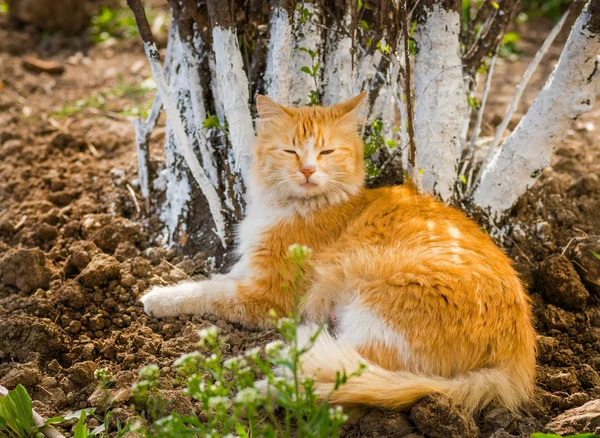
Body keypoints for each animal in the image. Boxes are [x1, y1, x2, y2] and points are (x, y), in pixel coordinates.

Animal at [141, 92, 536, 414]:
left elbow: (208, 291)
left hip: (373, 315)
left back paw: (263, 388)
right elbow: (215, 279)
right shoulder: (251, 270)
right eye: (290, 151)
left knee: (343, 379)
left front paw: (157, 296)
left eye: (326, 151)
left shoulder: (267, 296)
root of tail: (517, 356)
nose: (307, 170)